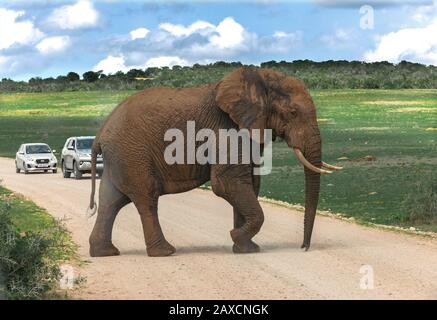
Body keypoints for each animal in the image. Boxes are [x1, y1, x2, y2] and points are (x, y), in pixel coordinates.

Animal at [87, 67, 340, 258]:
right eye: (293, 112)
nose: (303, 247)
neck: (259, 78)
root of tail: (101, 133)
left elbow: (249, 182)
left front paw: (246, 249)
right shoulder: (227, 128)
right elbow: (228, 182)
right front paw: (237, 238)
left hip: (121, 156)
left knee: (111, 200)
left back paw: (105, 252)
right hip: (133, 154)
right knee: (146, 198)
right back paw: (165, 252)